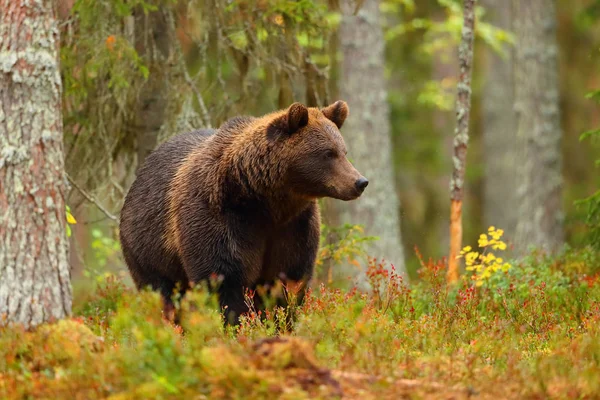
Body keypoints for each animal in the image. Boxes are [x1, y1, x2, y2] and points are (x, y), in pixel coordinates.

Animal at [118, 101, 366, 324]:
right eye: (328, 153)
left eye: (343, 151)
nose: (360, 182)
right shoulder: (220, 217)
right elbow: (224, 279)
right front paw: (236, 325)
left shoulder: (294, 226)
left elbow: (287, 281)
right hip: (148, 248)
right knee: (163, 293)